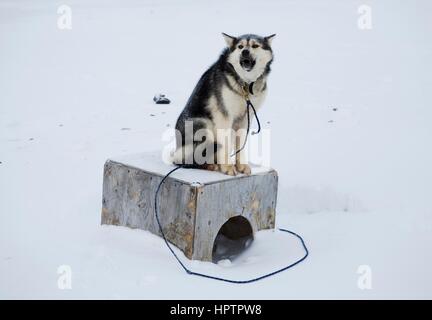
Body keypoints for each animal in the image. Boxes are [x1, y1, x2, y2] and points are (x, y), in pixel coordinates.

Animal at [171, 33, 274, 175]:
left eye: (255, 45)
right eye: (240, 46)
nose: (245, 51)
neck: (245, 84)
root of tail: (176, 151)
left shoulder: (246, 117)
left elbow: (240, 145)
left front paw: (241, 165)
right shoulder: (224, 116)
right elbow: (224, 146)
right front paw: (227, 167)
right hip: (203, 125)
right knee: (187, 161)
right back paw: (210, 165)